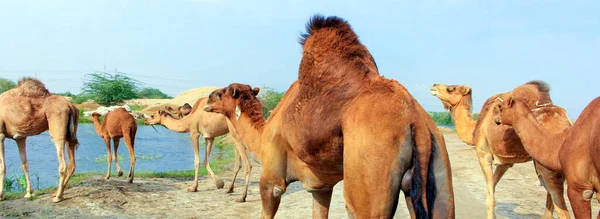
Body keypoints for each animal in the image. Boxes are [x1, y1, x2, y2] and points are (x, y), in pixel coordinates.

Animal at [206, 14, 454, 218]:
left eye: (221, 93)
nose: (207, 100)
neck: (263, 133)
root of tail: (416, 121)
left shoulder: (271, 180)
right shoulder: (320, 187)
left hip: (370, 172)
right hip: (439, 171)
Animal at [428, 81, 576, 218]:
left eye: (451, 89)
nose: (433, 85)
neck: (475, 128)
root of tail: (567, 123)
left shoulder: (483, 154)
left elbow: (490, 196)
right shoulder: (505, 162)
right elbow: (490, 189)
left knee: (559, 203)